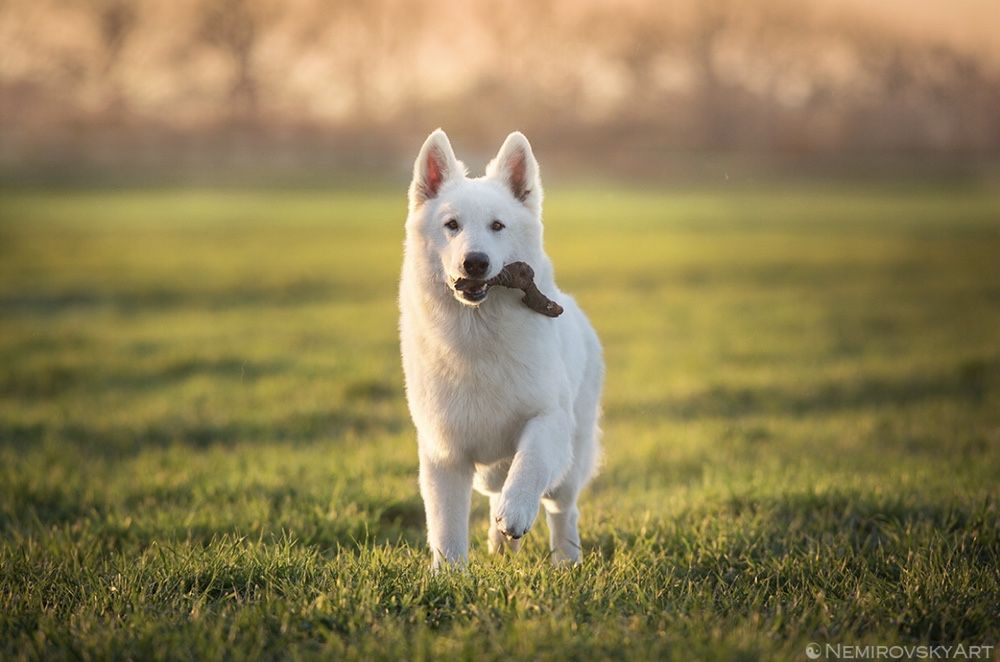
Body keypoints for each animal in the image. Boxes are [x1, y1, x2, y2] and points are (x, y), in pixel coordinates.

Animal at [398, 130, 600, 572]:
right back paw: (501, 546)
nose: (475, 262)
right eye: (452, 225)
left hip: (571, 461)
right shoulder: (445, 455)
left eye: (497, 226)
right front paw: (449, 577)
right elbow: (446, 528)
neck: (477, 335)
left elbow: (530, 461)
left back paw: (566, 560)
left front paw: (518, 509)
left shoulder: (548, 419)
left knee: (562, 509)